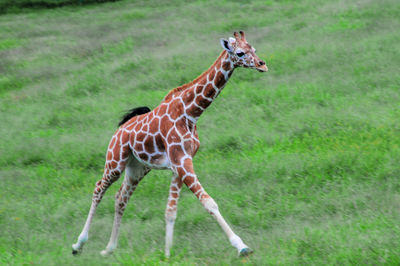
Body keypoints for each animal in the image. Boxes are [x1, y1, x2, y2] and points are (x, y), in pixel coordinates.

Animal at [71, 31, 268, 258]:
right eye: (240, 53)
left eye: (254, 48)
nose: (262, 64)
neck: (191, 113)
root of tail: (118, 131)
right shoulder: (181, 161)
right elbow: (209, 202)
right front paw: (241, 246)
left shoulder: (179, 163)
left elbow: (171, 210)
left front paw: (167, 253)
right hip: (115, 161)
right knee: (98, 189)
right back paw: (78, 245)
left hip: (137, 168)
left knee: (121, 198)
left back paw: (110, 248)